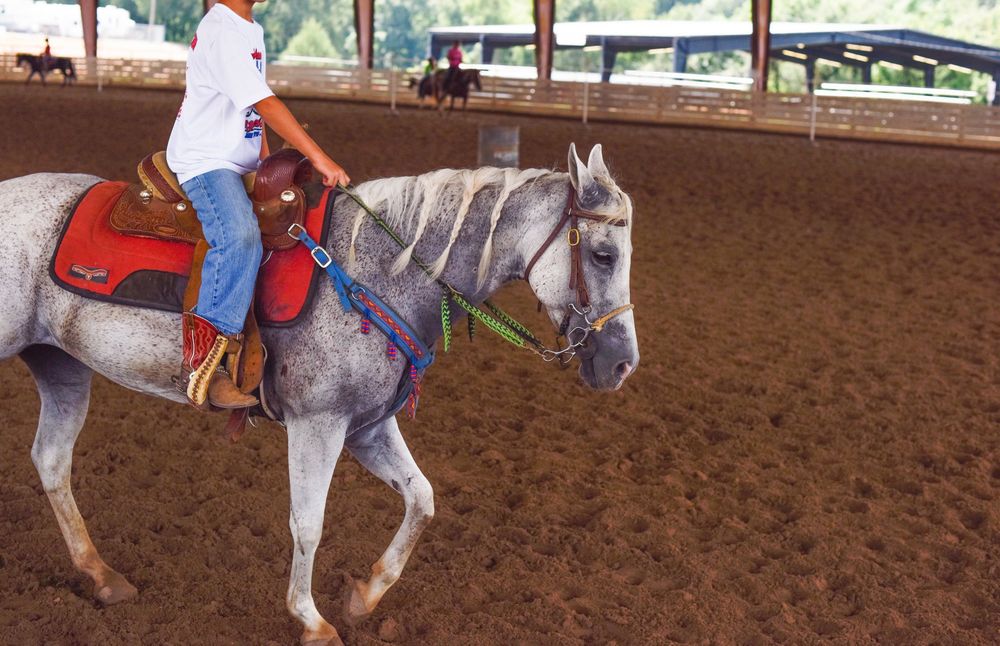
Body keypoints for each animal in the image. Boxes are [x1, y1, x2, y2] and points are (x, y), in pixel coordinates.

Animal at [0, 143, 638, 645]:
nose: (623, 364)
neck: (377, 273)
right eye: (603, 254)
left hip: (61, 367)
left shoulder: (367, 427)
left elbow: (423, 499)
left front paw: (366, 596)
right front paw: (312, 620)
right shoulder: (318, 424)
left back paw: (101, 576)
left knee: (51, 460)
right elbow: (308, 523)